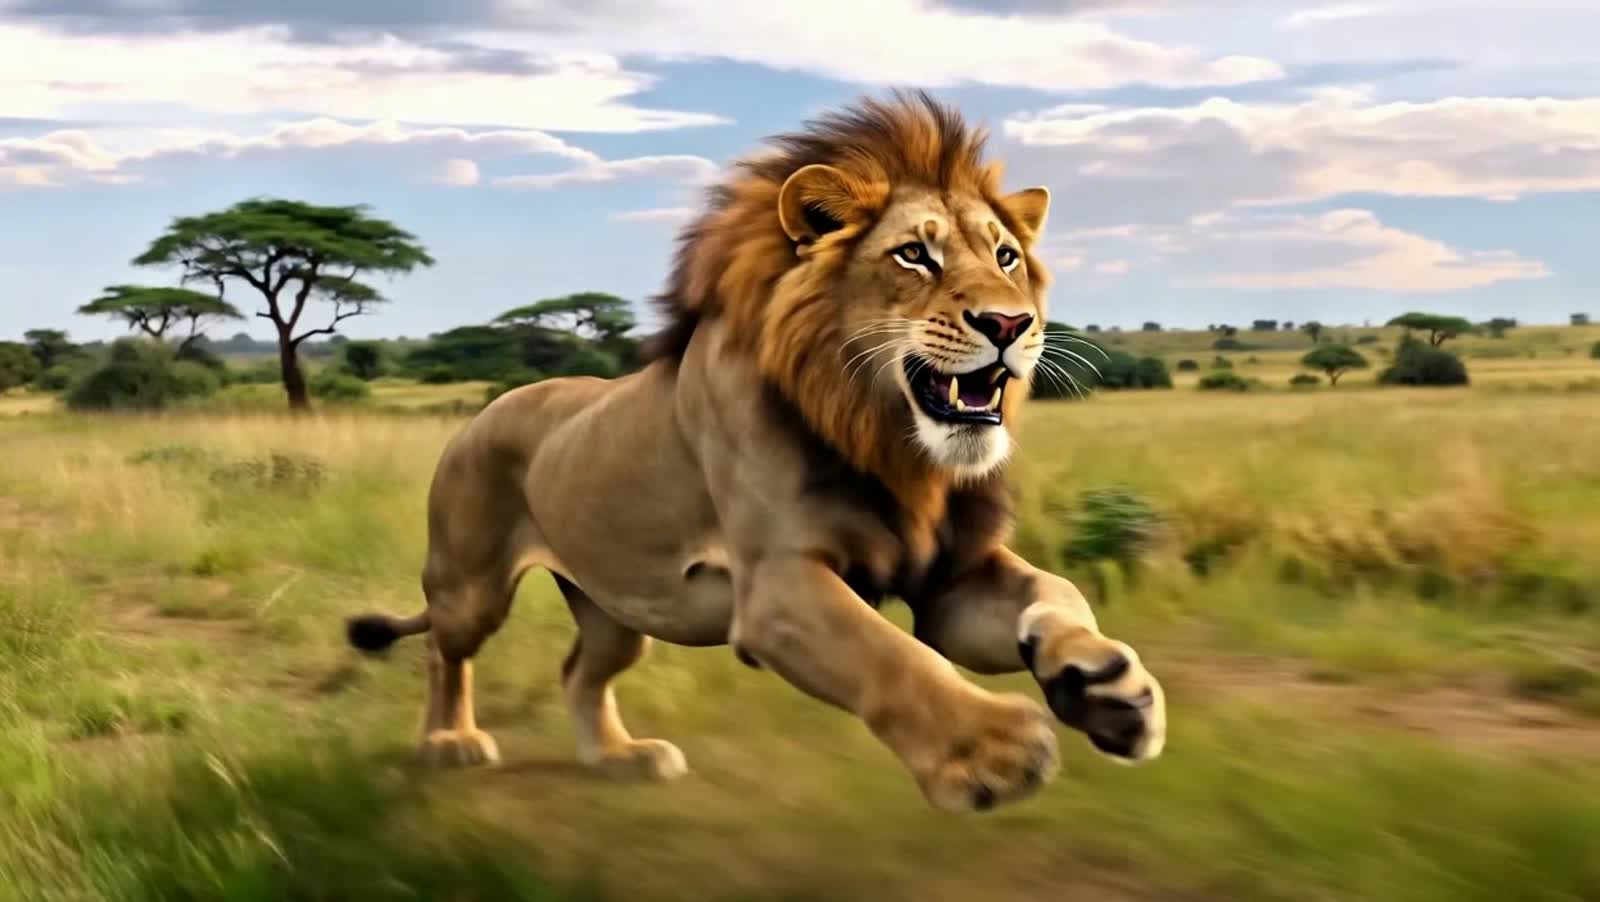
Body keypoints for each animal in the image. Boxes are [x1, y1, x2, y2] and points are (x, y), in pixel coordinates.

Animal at [346, 90, 1166, 812]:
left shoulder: (952, 578)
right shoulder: (776, 588)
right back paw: (449, 742)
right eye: (914, 256)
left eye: (1005, 257)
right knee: (444, 648)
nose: (1009, 323)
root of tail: (484, 412)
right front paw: (992, 750)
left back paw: (619, 757)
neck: (885, 439)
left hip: (614, 601)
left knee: (581, 669)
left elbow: (1056, 592)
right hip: (471, 584)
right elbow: (894, 655)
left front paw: (1109, 685)